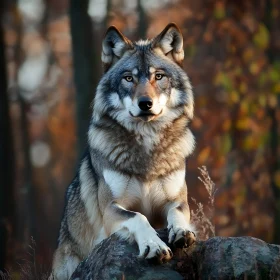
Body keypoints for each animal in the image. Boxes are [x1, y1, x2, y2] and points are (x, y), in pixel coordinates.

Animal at [51, 23, 197, 278]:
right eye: (129, 78)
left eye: (158, 76)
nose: (145, 103)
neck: (146, 147)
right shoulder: (111, 209)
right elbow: (139, 217)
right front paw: (154, 245)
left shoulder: (176, 200)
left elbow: (177, 213)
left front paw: (182, 232)